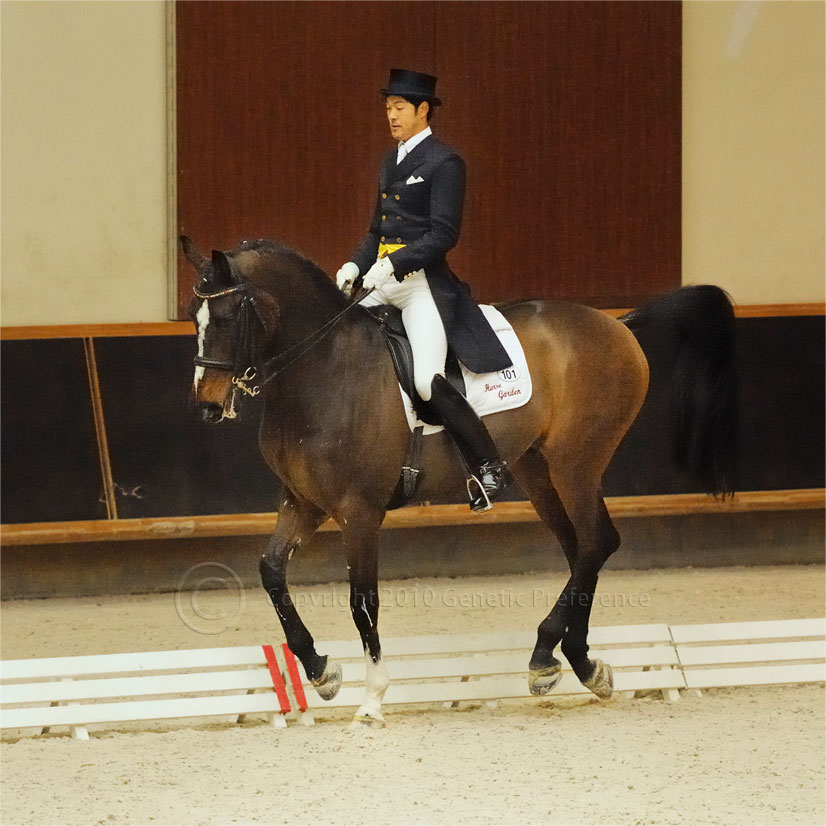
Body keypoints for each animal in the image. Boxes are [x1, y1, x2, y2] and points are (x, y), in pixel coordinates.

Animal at [182, 235, 732, 724]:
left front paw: (373, 697)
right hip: (538, 472)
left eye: (227, 318)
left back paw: (548, 654)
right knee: (583, 550)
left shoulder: (359, 512)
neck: (323, 369)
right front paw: (321, 671)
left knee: (596, 542)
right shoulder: (303, 502)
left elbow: (363, 601)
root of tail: (617, 323)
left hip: (577, 463)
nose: (207, 406)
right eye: (194, 317)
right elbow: (271, 572)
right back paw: (577, 662)